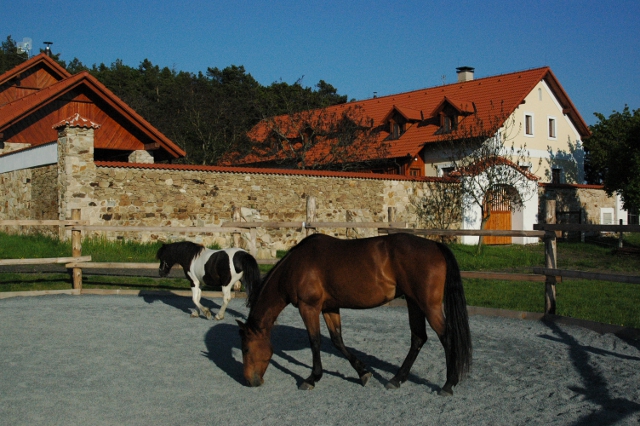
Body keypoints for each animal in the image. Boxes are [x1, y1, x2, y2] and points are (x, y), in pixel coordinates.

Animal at [237, 233, 472, 396]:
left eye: (246, 348)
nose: (249, 381)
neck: (296, 266)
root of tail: (435, 245)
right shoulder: (329, 308)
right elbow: (337, 340)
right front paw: (362, 372)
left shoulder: (309, 307)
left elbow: (315, 341)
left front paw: (312, 378)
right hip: (413, 303)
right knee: (418, 338)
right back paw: (396, 379)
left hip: (428, 306)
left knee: (446, 338)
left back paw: (448, 384)